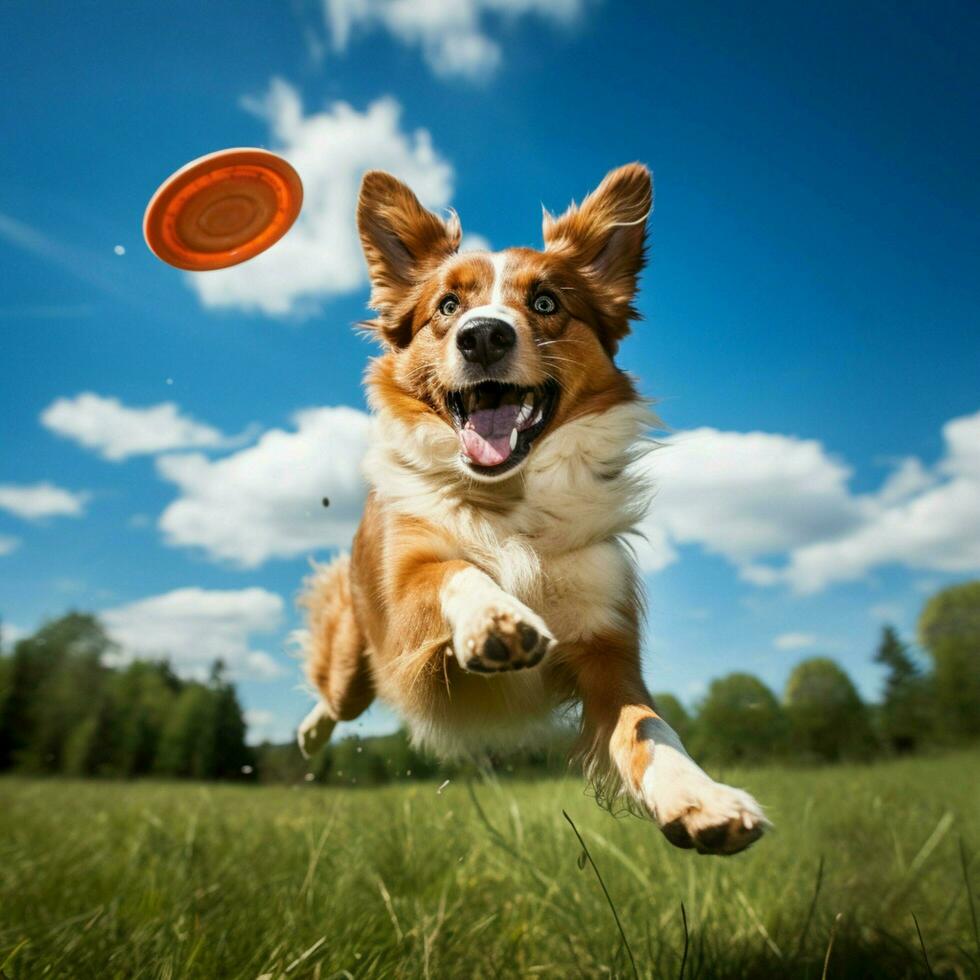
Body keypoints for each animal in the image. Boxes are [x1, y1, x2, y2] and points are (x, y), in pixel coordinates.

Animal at [294, 167, 768, 856]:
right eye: (447, 307)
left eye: (545, 303)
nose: (484, 335)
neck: (510, 504)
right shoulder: (408, 618)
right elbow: (455, 571)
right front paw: (498, 618)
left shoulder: (607, 649)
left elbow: (650, 727)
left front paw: (700, 796)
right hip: (359, 653)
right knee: (337, 696)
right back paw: (309, 732)